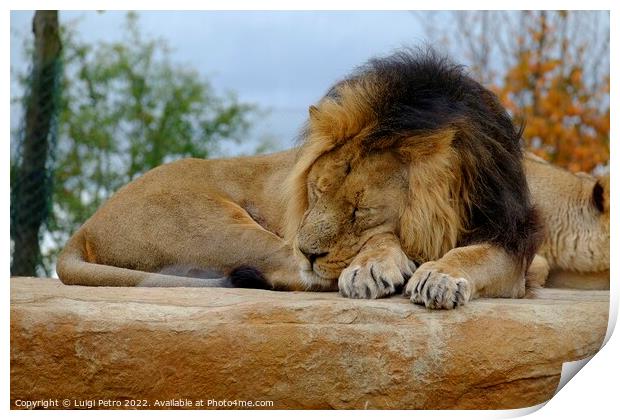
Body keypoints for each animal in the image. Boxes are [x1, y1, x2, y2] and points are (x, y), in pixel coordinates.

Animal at [58, 50, 544, 310]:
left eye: (359, 209)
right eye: (314, 193)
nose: (310, 251)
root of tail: (84, 226)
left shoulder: (515, 238)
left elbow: (480, 256)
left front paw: (439, 276)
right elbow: (384, 242)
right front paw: (374, 266)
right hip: (216, 223)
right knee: (284, 273)